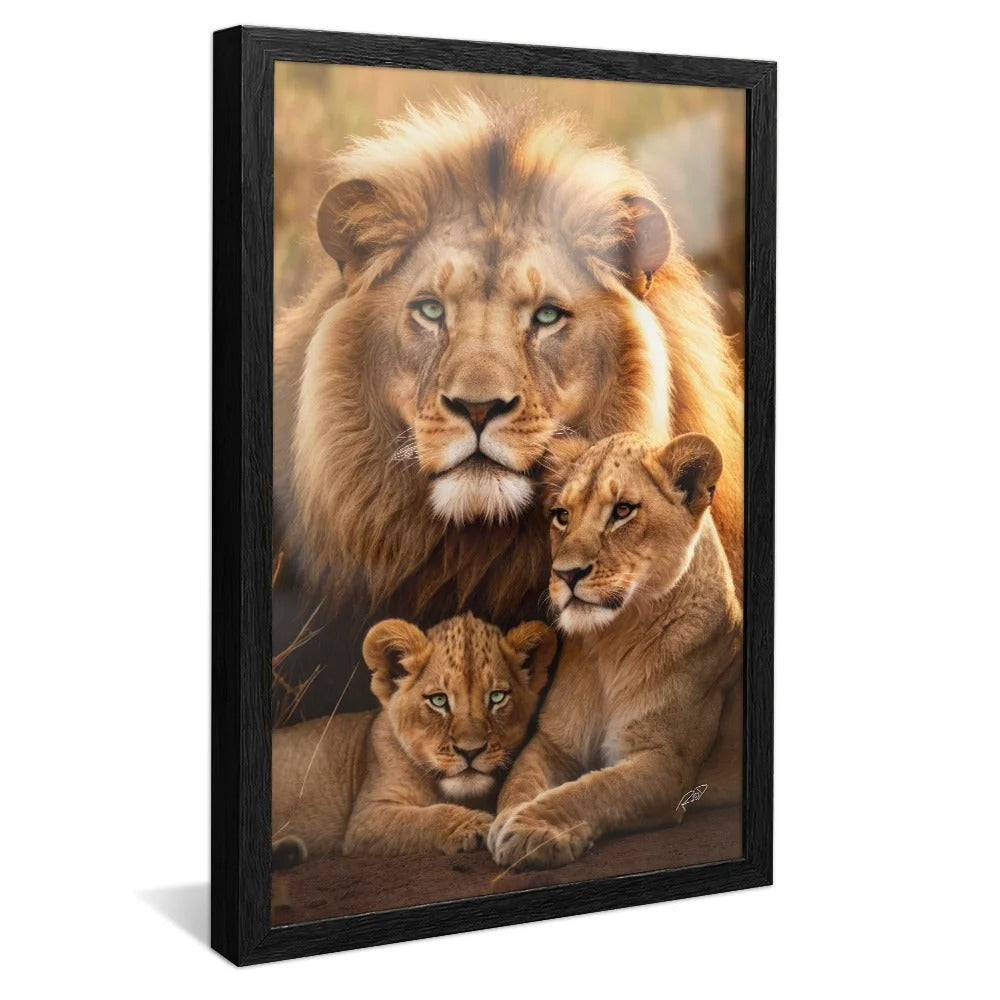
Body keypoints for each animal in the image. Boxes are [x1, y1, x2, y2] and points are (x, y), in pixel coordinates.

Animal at [271, 612, 556, 864]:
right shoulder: (366, 818)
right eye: (438, 700)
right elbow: (420, 819)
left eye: (496, 697)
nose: (470, 751)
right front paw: (475, 824)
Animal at [487, 432, 743, 870]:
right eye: (561, 515)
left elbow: (595, 789)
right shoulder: (552, 742)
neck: (613, 643)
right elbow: (518, 784)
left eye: (622, 511)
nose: (566, 574)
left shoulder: (666, 764)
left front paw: (531, 828)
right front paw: (508, 818)